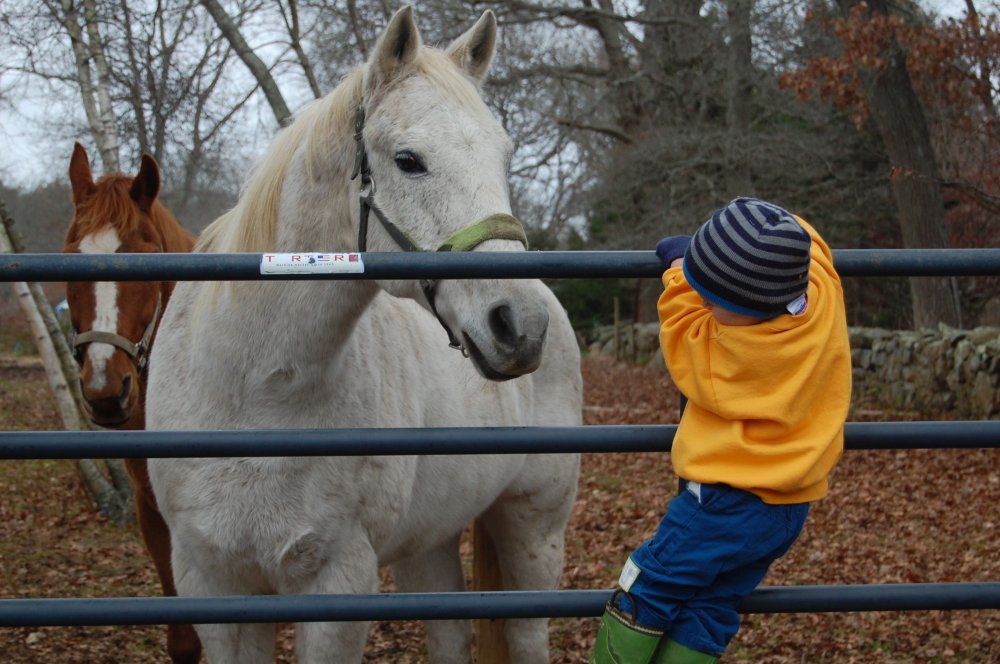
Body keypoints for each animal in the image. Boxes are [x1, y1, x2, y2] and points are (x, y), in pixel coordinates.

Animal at [149, 6, 584, 664]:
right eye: (408, 160)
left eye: (504, 157)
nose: (520, 325)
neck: (251, 392)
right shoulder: (212, 583)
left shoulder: (338, 582)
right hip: (431, 540)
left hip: (535, 524)